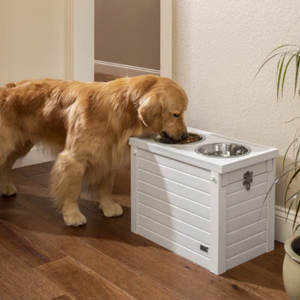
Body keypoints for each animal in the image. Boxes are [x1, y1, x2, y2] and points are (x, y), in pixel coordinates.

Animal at [0, 75, 188, 225]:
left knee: (6, 166)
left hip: (19, 146)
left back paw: (5, 187)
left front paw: (109, 207)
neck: (120, 109)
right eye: (176, 114)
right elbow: (73, 191)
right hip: (7, 145)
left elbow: (106, 187)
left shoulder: (107, 157)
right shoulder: (74, 160)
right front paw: (72, 215)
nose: (186, 135)